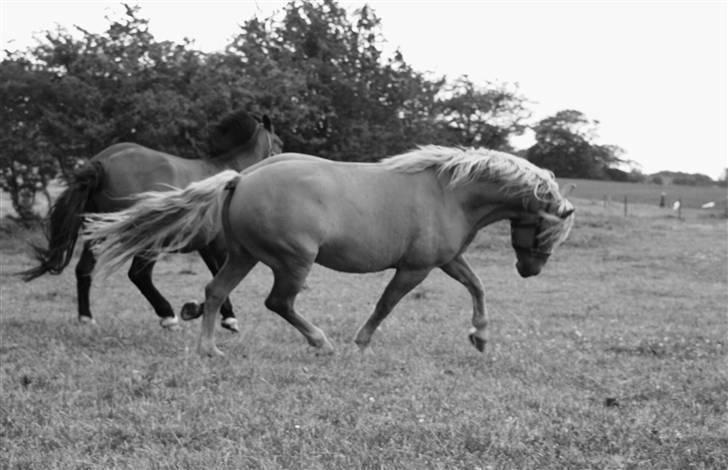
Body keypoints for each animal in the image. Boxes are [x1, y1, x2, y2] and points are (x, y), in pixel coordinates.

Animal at [84, 147, 576, 356]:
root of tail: (241, 178)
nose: (530, 270)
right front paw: (360, 343)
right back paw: (321, 342)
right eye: (547, 232)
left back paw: (209, 350)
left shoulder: (445, 260)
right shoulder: (415, 268)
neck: (449, 192)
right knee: (279, 302)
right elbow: (384, 305)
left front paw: (481, 337)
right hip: (292, 261)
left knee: (214, 292)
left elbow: (477, 288)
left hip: (243, 255)